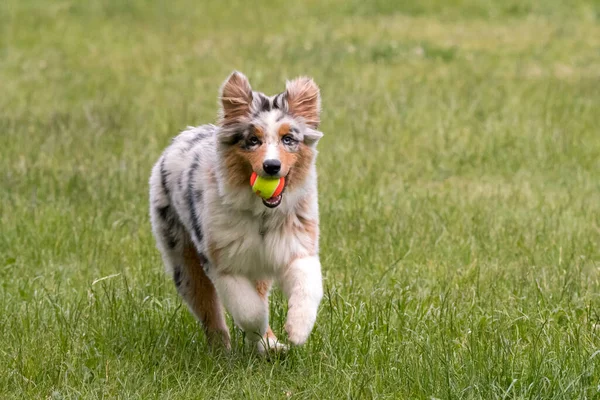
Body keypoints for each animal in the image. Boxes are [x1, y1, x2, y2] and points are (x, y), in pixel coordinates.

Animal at [150, 72, 326, 354]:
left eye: (288, 139)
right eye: (253, 140)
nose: (272, 166)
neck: (262, 215)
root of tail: (184, 135)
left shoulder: (296, 246)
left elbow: (307, 287)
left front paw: (296, 332)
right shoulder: (224, 262)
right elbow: (250, 310)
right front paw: (260, 333)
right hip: (183, 259)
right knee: (208, 308)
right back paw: (222, 350)